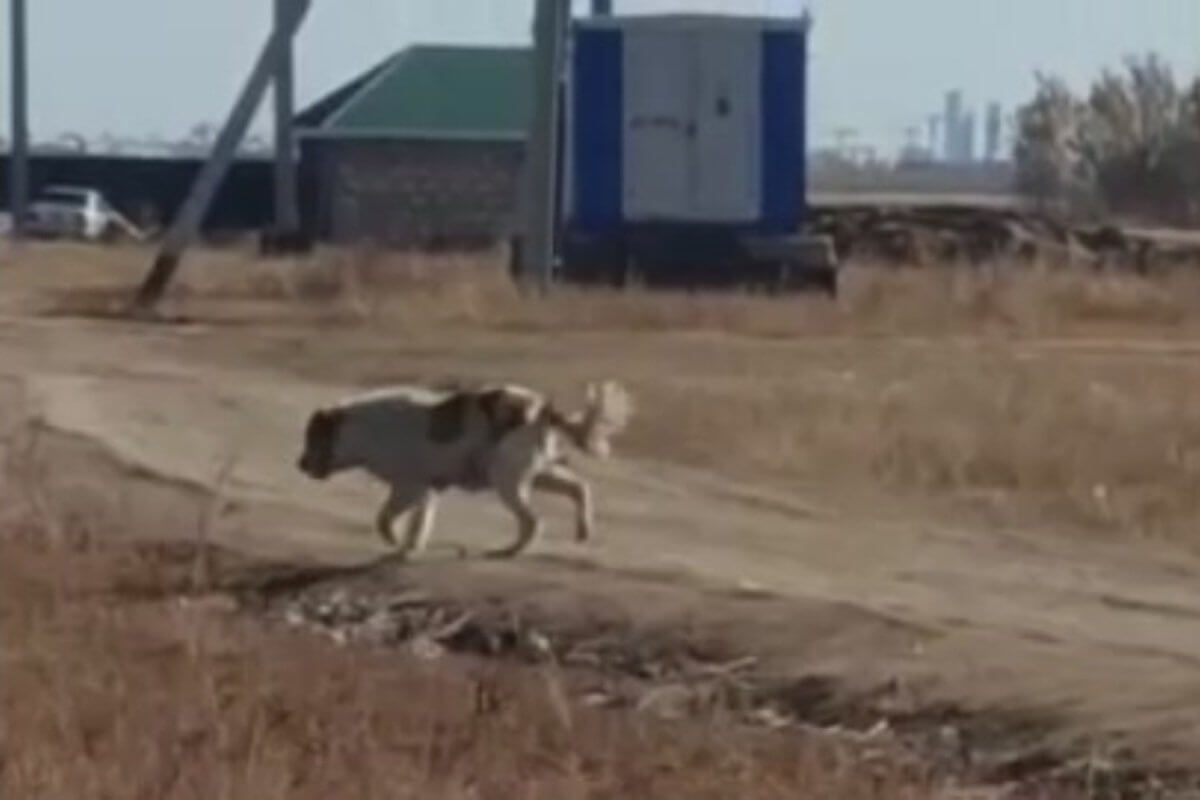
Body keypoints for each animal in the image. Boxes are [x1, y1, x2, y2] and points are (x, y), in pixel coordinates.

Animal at [298, 379, 633, 561]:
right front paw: (408, 549)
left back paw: (508, 551)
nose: (299, 465)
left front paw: (394, 543)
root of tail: (541, 409)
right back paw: (583, 531)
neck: (361, 428)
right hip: (537, 474)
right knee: (579, 488)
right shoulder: (426, 490)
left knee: (533, 521)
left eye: (312, 437)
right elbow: (418, 524)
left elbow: (385, 518)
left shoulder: (408, 487)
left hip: (508, 481)